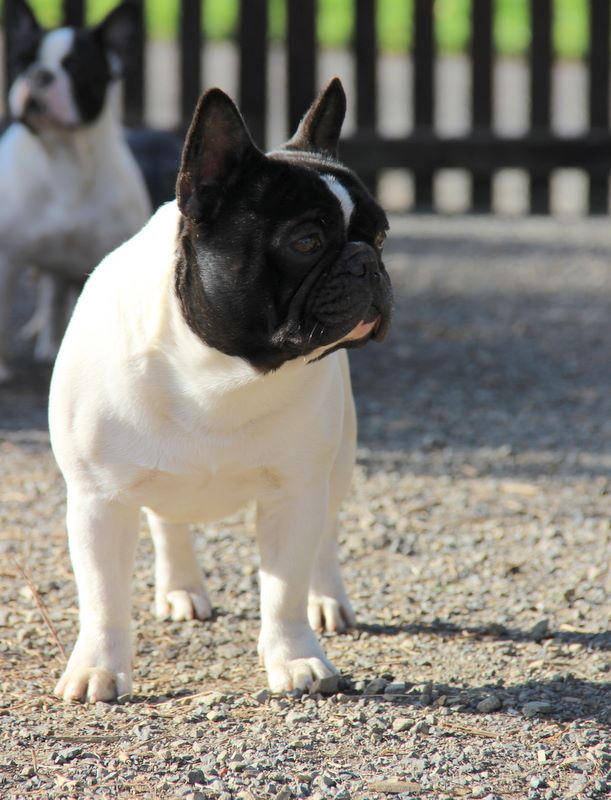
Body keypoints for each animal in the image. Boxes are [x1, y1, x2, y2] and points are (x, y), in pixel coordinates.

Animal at [0, 0, 152, 382]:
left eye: (77, 67)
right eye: (21, 61)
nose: (39, 75)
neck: (64, 156)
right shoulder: (6, 259)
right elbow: (2, 318)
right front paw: (2, 367)